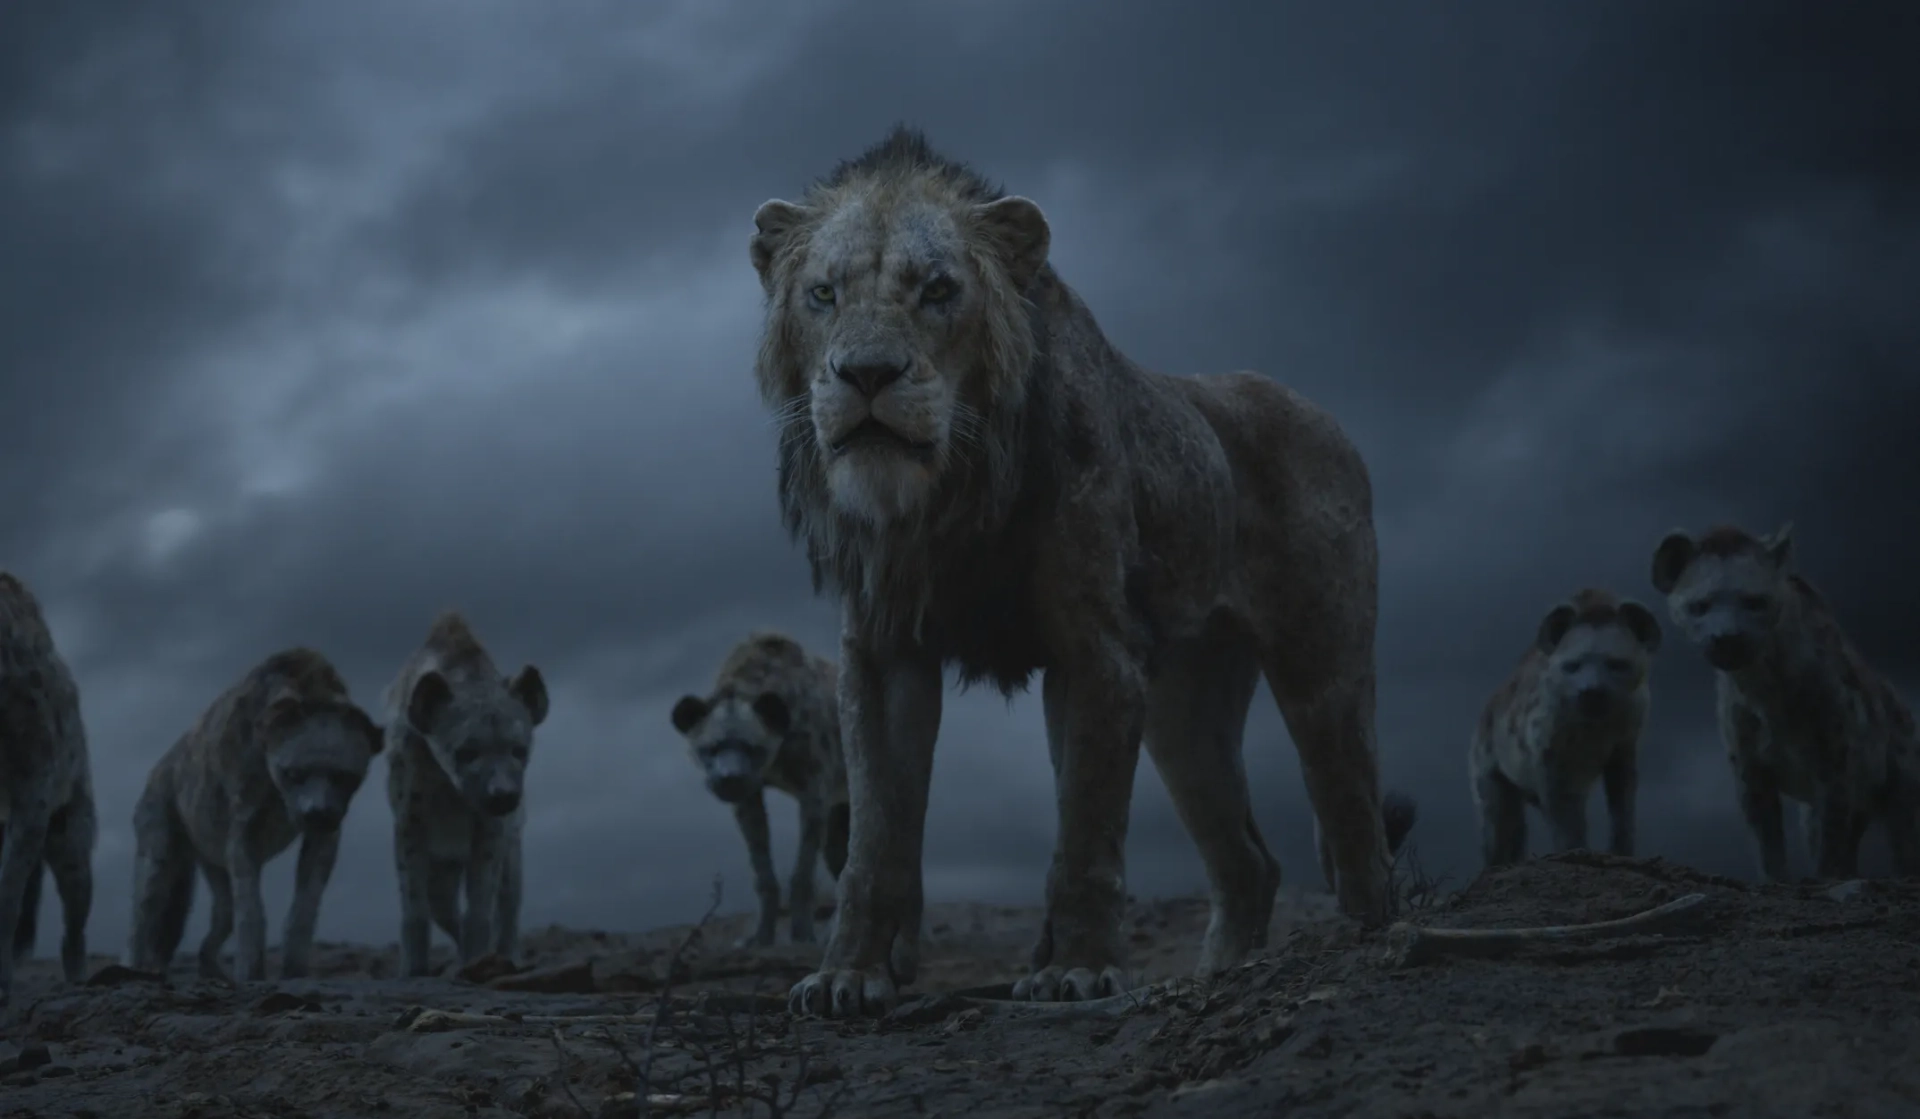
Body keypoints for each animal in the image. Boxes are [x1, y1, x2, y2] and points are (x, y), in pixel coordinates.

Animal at [748, 126, 1409, 1017]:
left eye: (938, 289)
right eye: (822, 294)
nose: (868, 374)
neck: (949, 494)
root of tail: (1327, 418)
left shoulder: (1095, 649)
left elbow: (1086, 827)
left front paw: (1079, 970)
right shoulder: (884, 655)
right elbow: (875, 838)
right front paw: (849, 974)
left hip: (1321, 667)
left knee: (1353, 817)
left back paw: (1367, 943)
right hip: (1183, 711)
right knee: (1249, 861)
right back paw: (1217, 973)